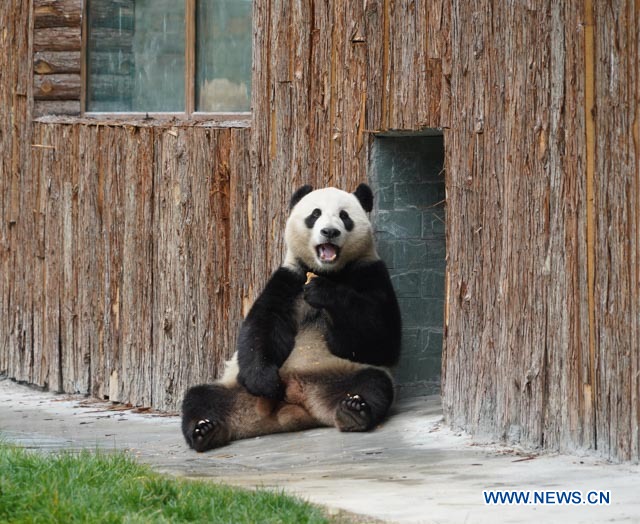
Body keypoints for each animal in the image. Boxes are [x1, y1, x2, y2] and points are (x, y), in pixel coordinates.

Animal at [181, 183, 402, 452]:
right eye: (315, 214)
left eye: (344, 216)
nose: (329, 232)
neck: (327, 271)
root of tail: (295, 402)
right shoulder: (288, 280)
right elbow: (261, 328)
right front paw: (264, 381)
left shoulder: (370, 272)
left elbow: (381, 342)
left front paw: (324, 293)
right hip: (236, 386)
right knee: (200, 397)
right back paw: (205, 430)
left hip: (340, 375)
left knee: (374, 383)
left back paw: (353, 412)